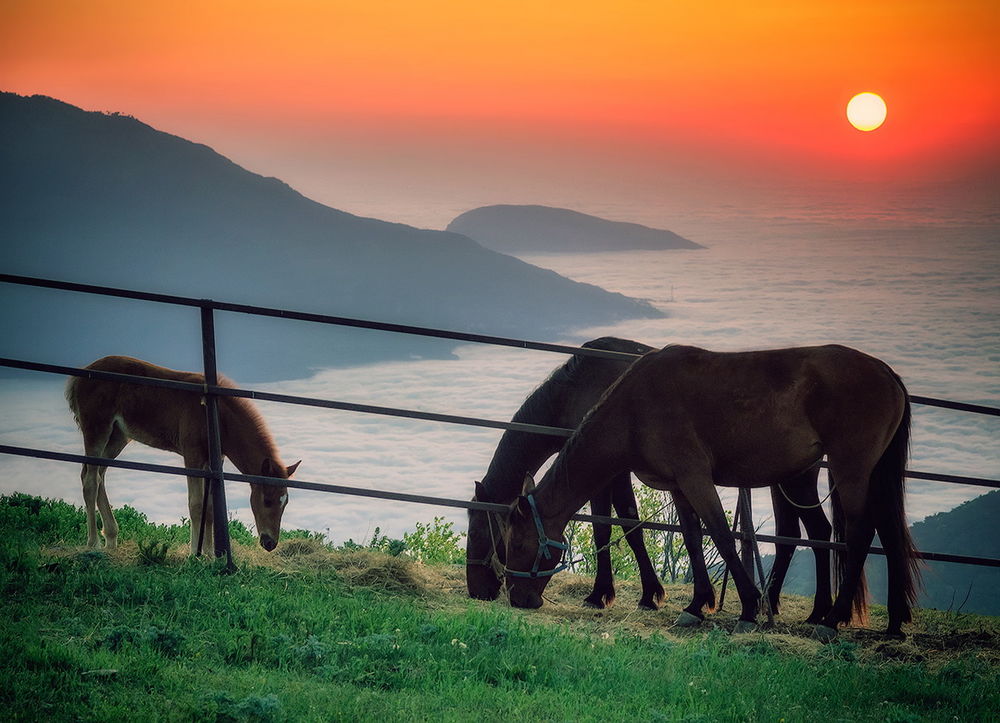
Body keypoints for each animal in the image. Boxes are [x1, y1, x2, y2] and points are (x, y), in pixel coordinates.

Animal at [66, 356, 298, 556]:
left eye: (285, 503)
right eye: (267, 500)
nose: (270, 543)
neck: (215, 413)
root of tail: (81, 375)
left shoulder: (212, 462)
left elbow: (209, 508)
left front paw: (209, 553)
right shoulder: (192, 456)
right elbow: (196, 505)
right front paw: (194, 553)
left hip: (118, 436)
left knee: (98, 475)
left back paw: (111, 538)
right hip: (97, 428)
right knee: (90, 481)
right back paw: (93, 542)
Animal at [504, 346, 916, 640]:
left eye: (519, 544)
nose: (515, 598)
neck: (636, 406)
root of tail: (887, 373)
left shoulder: (696, 478)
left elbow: (719, 535)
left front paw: (748, 608)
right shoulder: (679, 486)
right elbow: (691, 537)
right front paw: (697, 604)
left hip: (851, 471)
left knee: (860, 533)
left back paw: (832, 619)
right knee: (878, 532)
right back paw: (888, 621)